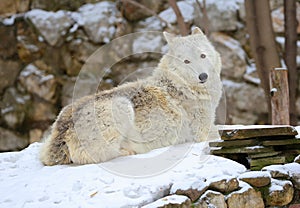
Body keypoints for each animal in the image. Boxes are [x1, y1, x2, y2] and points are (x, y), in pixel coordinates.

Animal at [39, 26, 221, 165]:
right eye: (186, 61)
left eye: (203, 55)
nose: (203, 76)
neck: (180, 85)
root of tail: (61, 131)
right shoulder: (204, 131)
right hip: (122, 105)